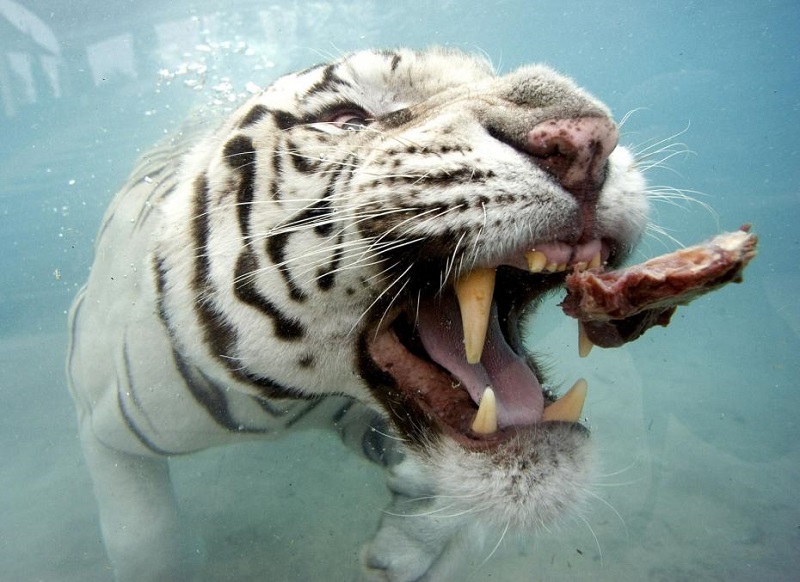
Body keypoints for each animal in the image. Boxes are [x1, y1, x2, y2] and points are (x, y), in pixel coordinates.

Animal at [69, 48, 648, 580]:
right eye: (346, 118)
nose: (587, 139)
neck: (310, 395)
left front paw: (407, 543)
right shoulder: (109, 426)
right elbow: (143, 540)